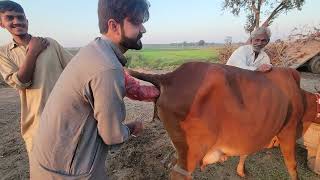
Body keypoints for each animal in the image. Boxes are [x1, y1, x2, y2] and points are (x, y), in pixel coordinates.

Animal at [126, 61, 320, 179]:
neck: (301, 96)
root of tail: (168, 77)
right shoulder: (288, 130)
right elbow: (292, 166)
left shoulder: (250, 134)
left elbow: (245, 152)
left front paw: (241, 171)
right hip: (192, 152)